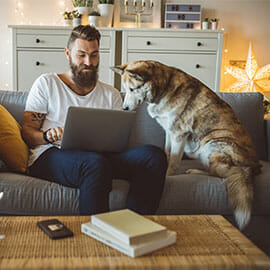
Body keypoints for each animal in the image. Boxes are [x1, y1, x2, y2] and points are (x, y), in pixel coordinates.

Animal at [112, 60, 262, 229]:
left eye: (132, 89)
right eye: (125, 90)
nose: (124, 108)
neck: (163, 88)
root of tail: (252, 167)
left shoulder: (179, 134)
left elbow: (173, 161)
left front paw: (167, 175)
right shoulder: (168, 131)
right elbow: (167, 153)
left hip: (212, 145)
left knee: (220, 175)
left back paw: (195, 171)